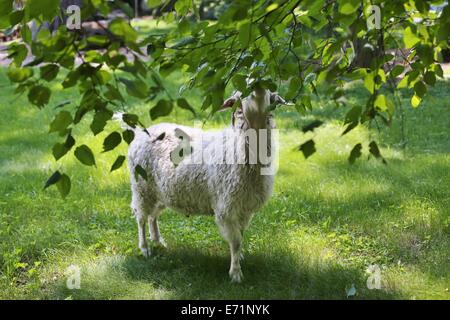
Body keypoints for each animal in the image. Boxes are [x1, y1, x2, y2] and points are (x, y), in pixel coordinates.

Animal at [116, 89, 284, 282]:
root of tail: (140, 132)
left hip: (160, 192)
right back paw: (145, 248)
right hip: (141, 187)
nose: (259, 90)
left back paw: (158, 241)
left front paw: (239, 258)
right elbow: (235, 241)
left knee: (152, 216)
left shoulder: (245, 207)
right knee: (141, 217)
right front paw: (235, 273)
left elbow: (240, 235)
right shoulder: (226, 207)